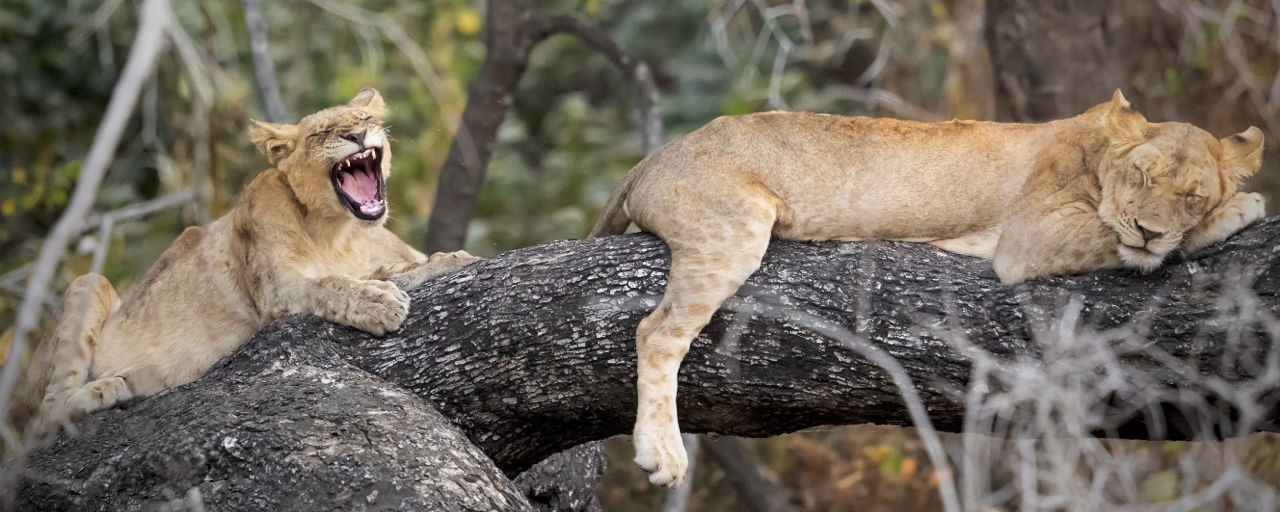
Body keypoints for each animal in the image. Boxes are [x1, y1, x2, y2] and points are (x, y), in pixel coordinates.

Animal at [8, 88, 481, 440]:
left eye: (363, 120)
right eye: (324, 132)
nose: (357, 135)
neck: (339, 231)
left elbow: (404, 269)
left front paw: (450, 259)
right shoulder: (277, 292)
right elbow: (331, 285)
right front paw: (381, 302)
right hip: (87, 284)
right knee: (46, 417)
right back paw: (111, 388)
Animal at [591, 90, 1269, 486]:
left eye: (1191, 194)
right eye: (1142, 176)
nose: (1150, 231)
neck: (1096, 155)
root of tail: (650, 160)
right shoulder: (1030, 241)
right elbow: (1116, 237)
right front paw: (1243, 208)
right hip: (734, 225)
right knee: (657, 331)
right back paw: (662, 452)